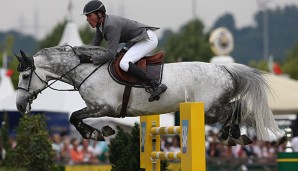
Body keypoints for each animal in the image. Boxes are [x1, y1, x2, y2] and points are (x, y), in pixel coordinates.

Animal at [15, 45, 284, 146]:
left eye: (25, 76)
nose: (19, 106)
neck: (86, 70)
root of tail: (225, 69)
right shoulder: (98, 109)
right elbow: (75, 117)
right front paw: (102, 132)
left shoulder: (104, 107)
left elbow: (73, 116)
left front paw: (97, 133)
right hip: (212, 108)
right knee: (239, 108)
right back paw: (234, 135)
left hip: (210, 109)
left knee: (238, 108)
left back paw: (235, 134)